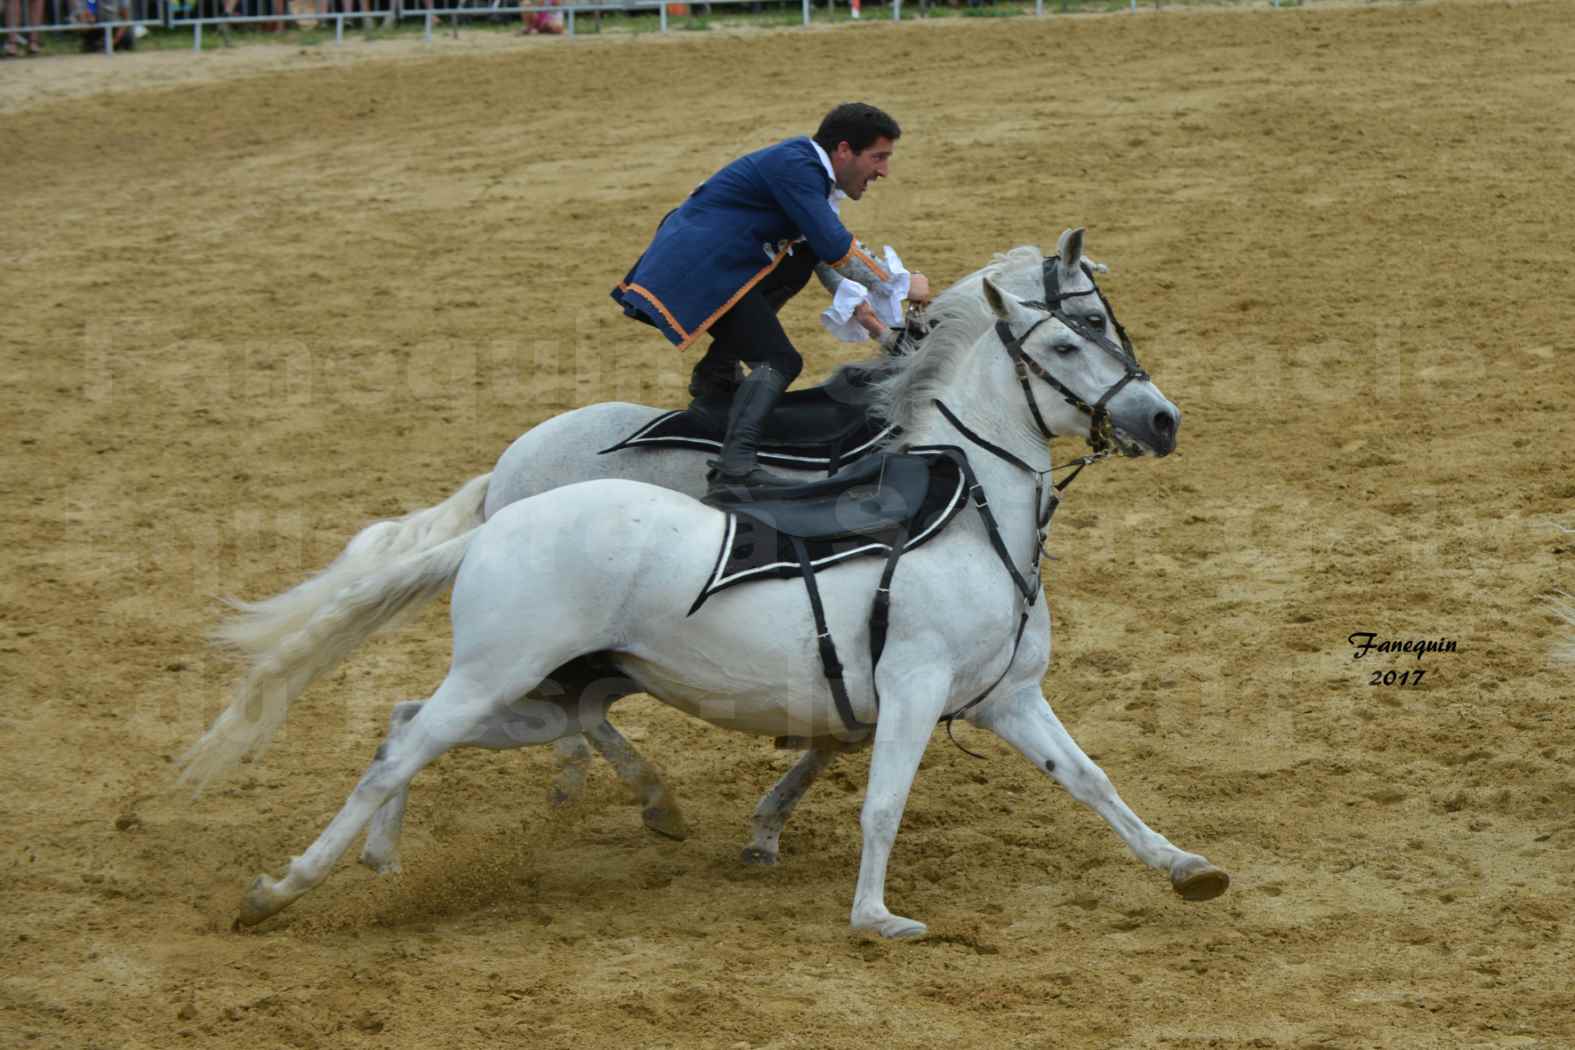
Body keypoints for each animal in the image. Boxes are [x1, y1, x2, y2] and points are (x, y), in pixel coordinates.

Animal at [200, 250, 1228, 938]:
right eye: (1070, 335)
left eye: (1105, 325)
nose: (1161, 419)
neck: (970, 511)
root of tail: (497, 516)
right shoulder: (912, 690)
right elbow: (881, 800)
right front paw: (872, 916)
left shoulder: (1006, 697)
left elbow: (1091, 780)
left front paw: (1185, 868)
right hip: (503, 675)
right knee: (400, 750)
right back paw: (279, 890)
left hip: (540, 689)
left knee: (409, 726)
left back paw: (388, 853)